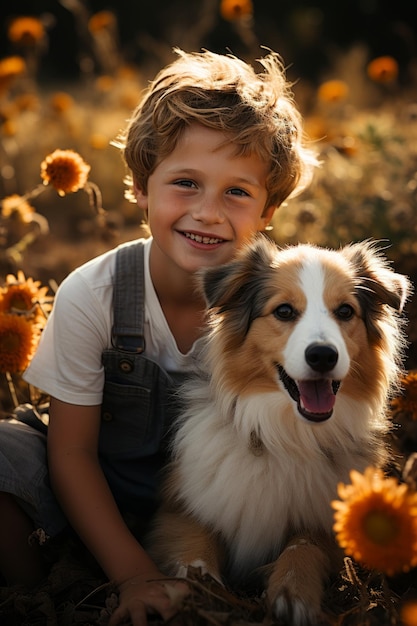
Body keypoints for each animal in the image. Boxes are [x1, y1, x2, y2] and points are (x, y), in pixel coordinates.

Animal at [145, 235, 410, 624]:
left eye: (345, 312)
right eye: (284, 311)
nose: (323, 356)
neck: (283, 435)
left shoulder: (327, 526)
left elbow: (304, 545)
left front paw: (293, 591)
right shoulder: (176, 510)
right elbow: (195, 547)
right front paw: (202, 591)